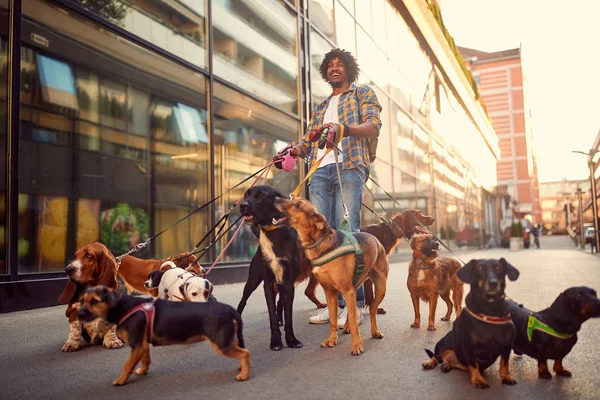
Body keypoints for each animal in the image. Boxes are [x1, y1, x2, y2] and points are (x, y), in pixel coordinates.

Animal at [78, 284, 250, 384]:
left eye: (95, 301)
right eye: (82, 300)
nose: (78, 314)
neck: (124, 306)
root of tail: (229, 309)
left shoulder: (136, 345)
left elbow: (127, 365)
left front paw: (120, 380)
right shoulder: (142, 344)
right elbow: (145, 359)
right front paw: (143, 371)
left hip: (221, 343)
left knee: (245, 353)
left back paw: (244, 375)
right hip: (228, 339)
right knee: (242, 352)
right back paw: (242, 368)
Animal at [234, 184, 300, 350]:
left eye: (261, 195)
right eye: (246, 194)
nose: (243, 205)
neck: (273, 231)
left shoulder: (289, 283)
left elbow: (289, 316)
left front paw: (292, 340)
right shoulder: (268, 284)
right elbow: (271, 316)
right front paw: (276, 341)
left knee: (280, 302)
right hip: (252, 280)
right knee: (243, 300)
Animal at [276, 197, 390, 356]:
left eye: (298, 205)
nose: (276, 198)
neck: (320, 245)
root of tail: (375, 239)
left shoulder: (347, 291)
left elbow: (354, 322)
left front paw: (356, 345)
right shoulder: (330, 292)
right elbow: (333, 320)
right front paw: (331, 339)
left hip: (380, 288)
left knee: (372, 310)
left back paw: (375, 331)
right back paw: (347, 326)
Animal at [422, 258, 520, 390]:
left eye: (499, 268)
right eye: (479, 268)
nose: (493, 283)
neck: (489, 310)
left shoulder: (507, 345)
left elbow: (504, 363)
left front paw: (506, 377)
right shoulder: (467, 345)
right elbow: (473, 364)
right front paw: (478, 380)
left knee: (450, 362)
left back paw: (447, 365)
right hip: (443, 344)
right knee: (436, 356)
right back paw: (430, 363)